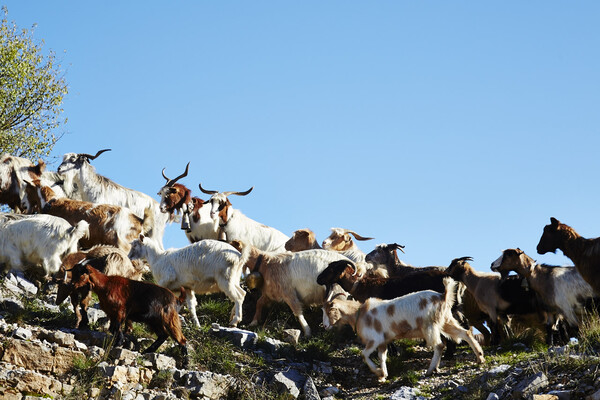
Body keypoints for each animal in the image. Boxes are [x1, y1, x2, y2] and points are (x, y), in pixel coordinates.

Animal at [322, 276, 486, 380]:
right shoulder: (383, 342)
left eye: (329, 311)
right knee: (465, 333)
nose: (324, 325)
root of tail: (442, 295)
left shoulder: (374, 340)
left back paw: (430, 370)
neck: (359, 314)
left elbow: (364, 355)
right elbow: (382, 357)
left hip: (429, 326)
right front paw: (383, 375)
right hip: (446, 321)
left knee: (439, 345)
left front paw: (378, 372)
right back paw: (480, 358)